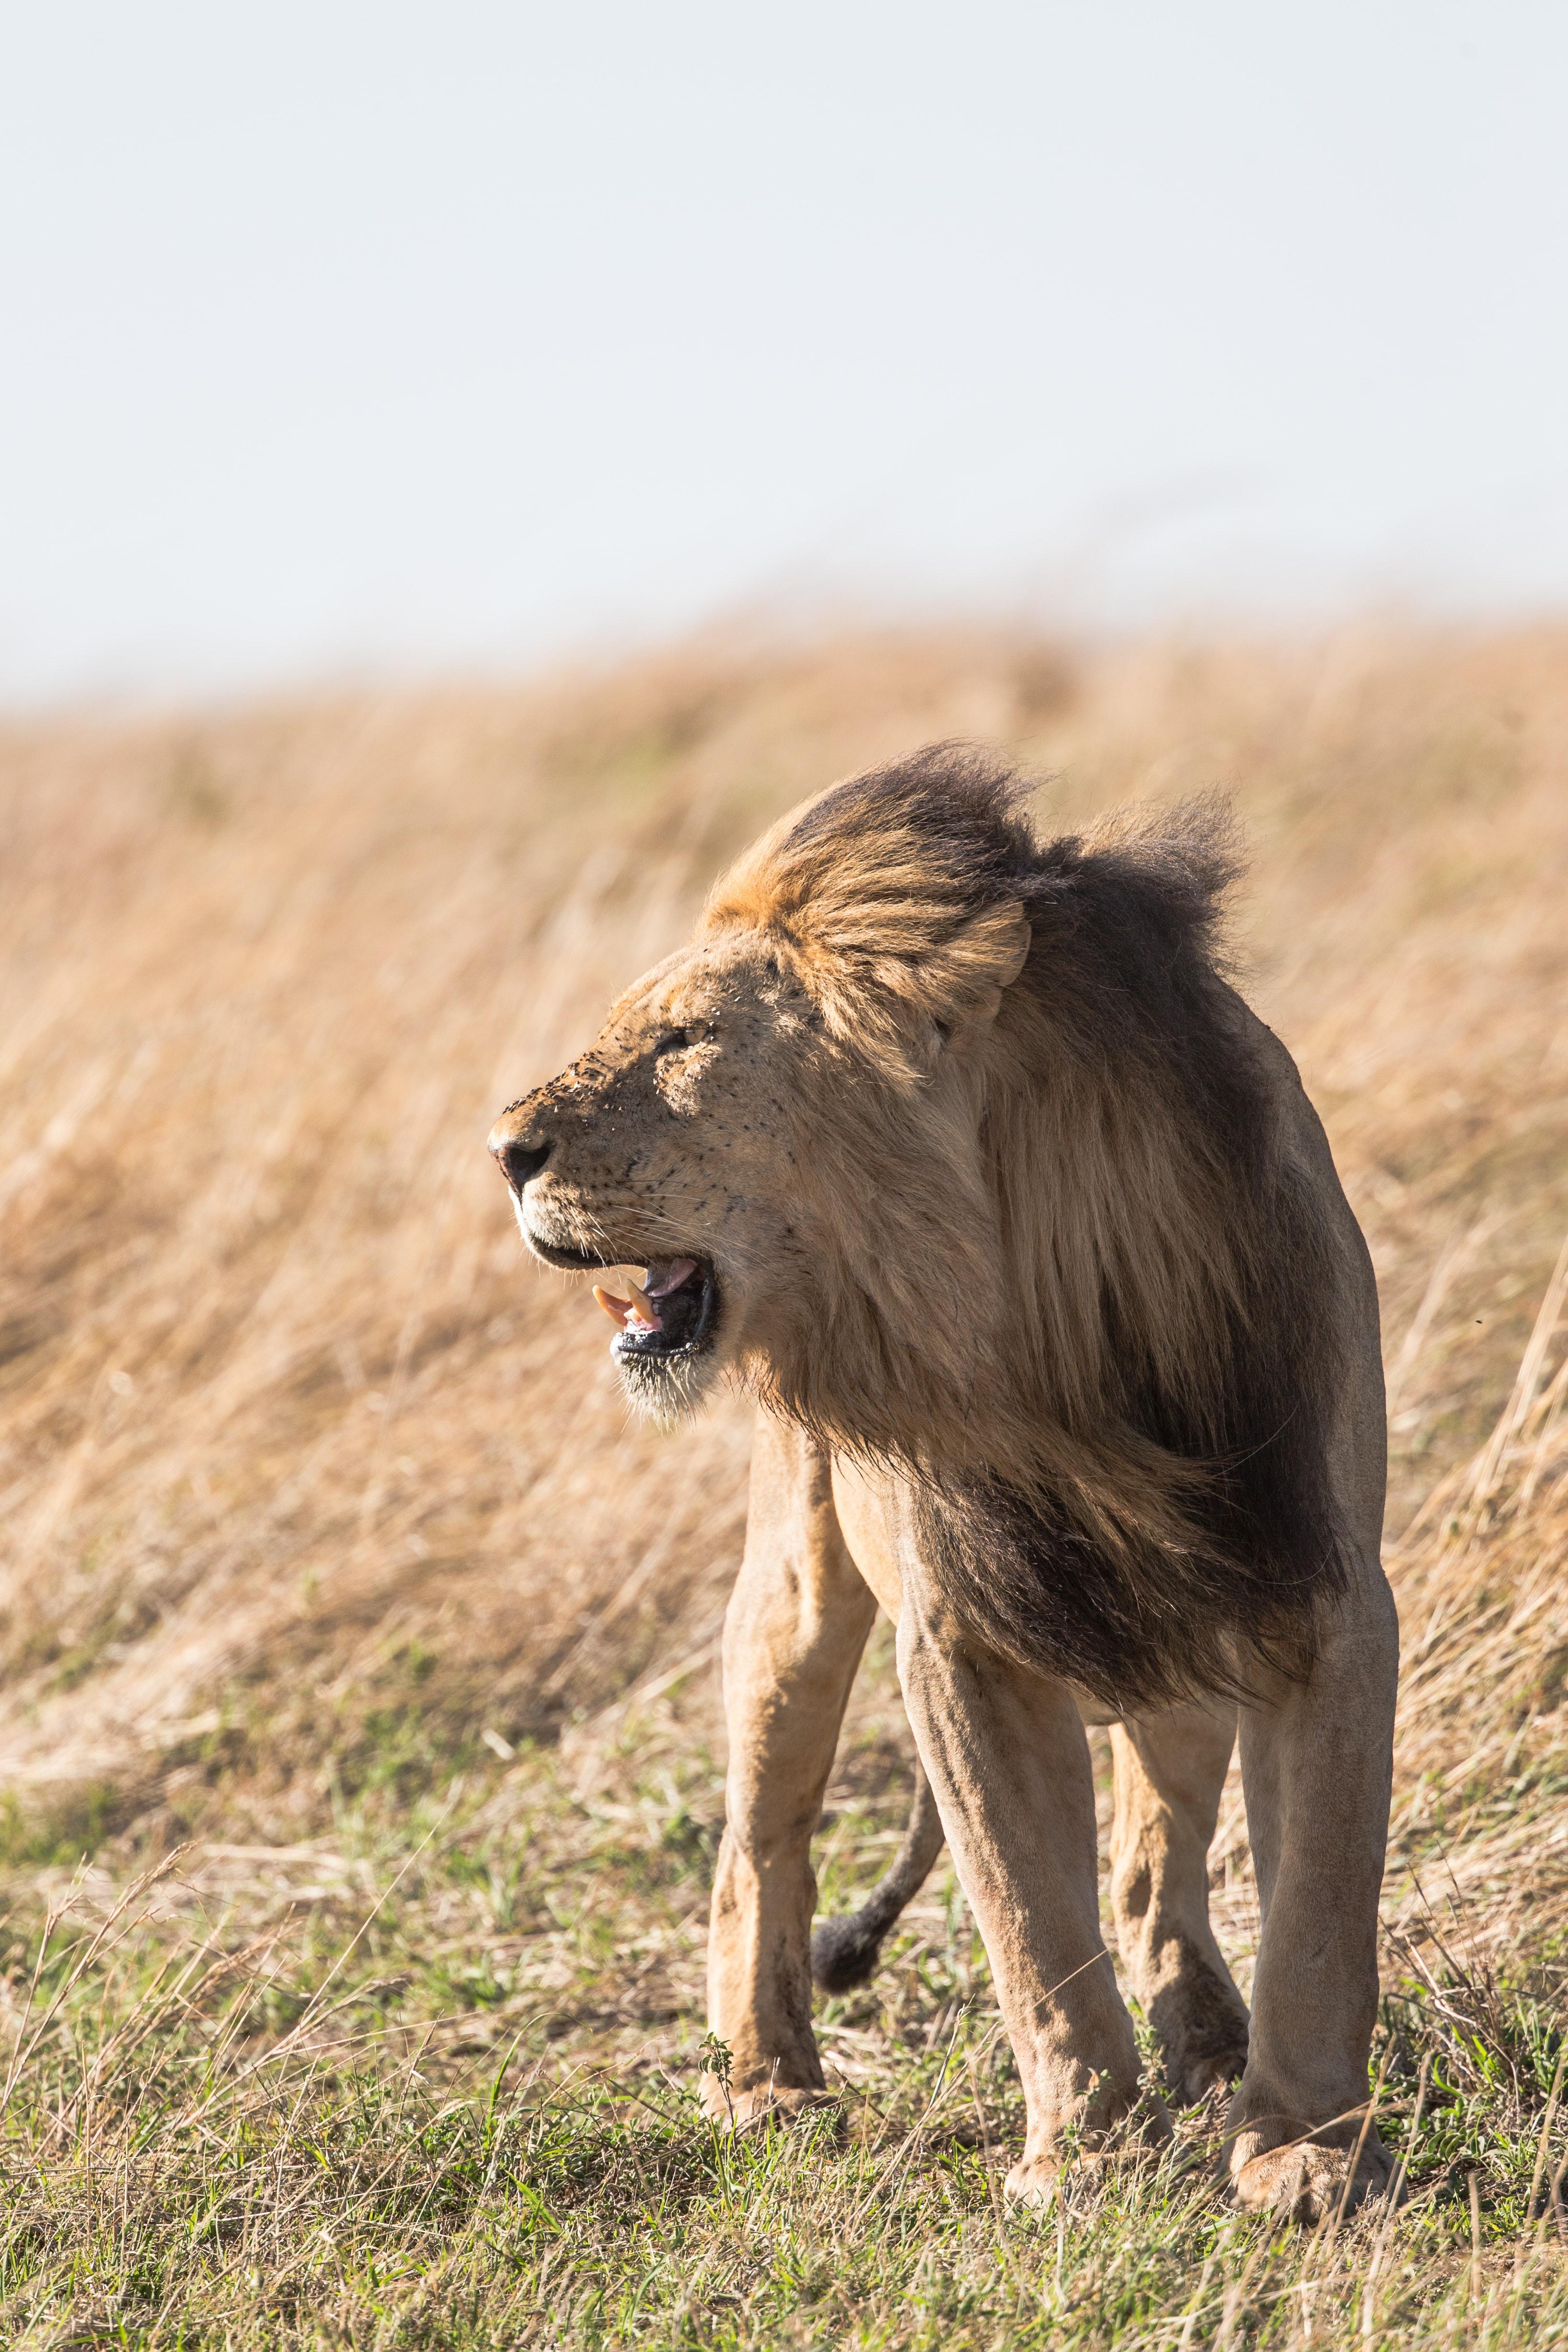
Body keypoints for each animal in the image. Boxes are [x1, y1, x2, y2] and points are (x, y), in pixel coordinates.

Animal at [486, 752, 1401, 2220]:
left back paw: (1206, 2032)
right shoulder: (962, 1635)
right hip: (797, 1588)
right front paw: (1084, 2160)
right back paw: (769, 2082)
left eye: (684, 1040)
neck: (1041, 1326)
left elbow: (1319, 1901)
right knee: (760, 1841)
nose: (500, 1150)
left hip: (1182, 1641)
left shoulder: (1312, 1587)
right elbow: (1029, 1917)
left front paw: (1305, 2151)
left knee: (1150, 1861)